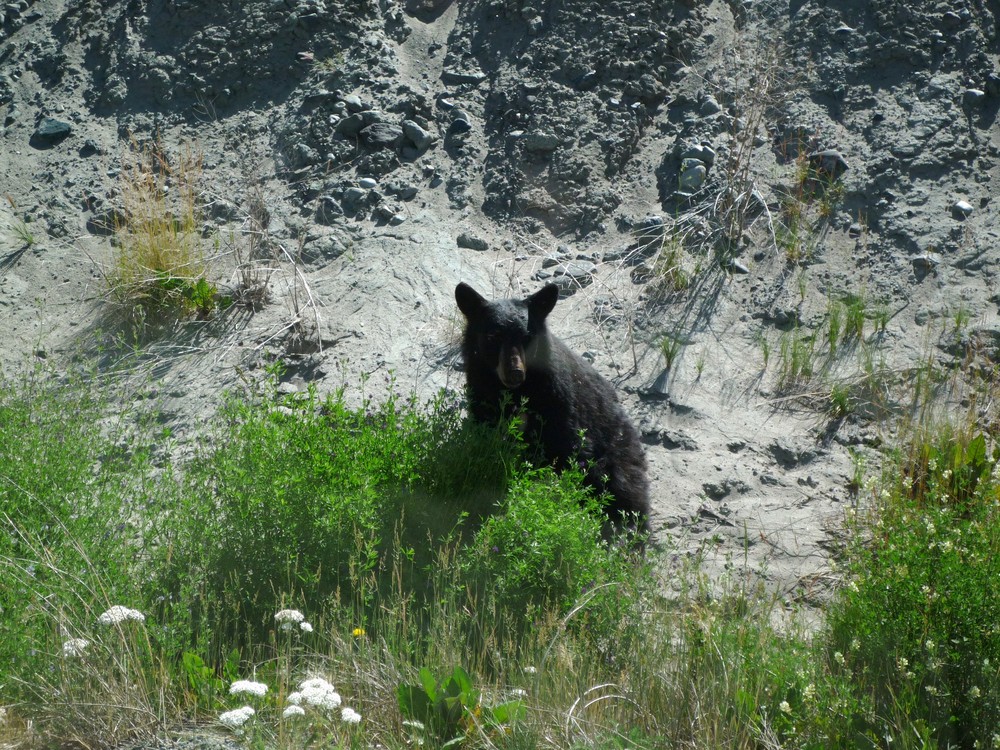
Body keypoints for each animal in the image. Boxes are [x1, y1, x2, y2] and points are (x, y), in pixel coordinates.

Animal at [458, 282, 652, 536]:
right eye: (493, 336)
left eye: (527, 336)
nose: (515, 373)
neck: (519, 391)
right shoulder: (483, 395)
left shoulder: (558, 400)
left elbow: (572, 447)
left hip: (618, 454)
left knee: (625, 492)